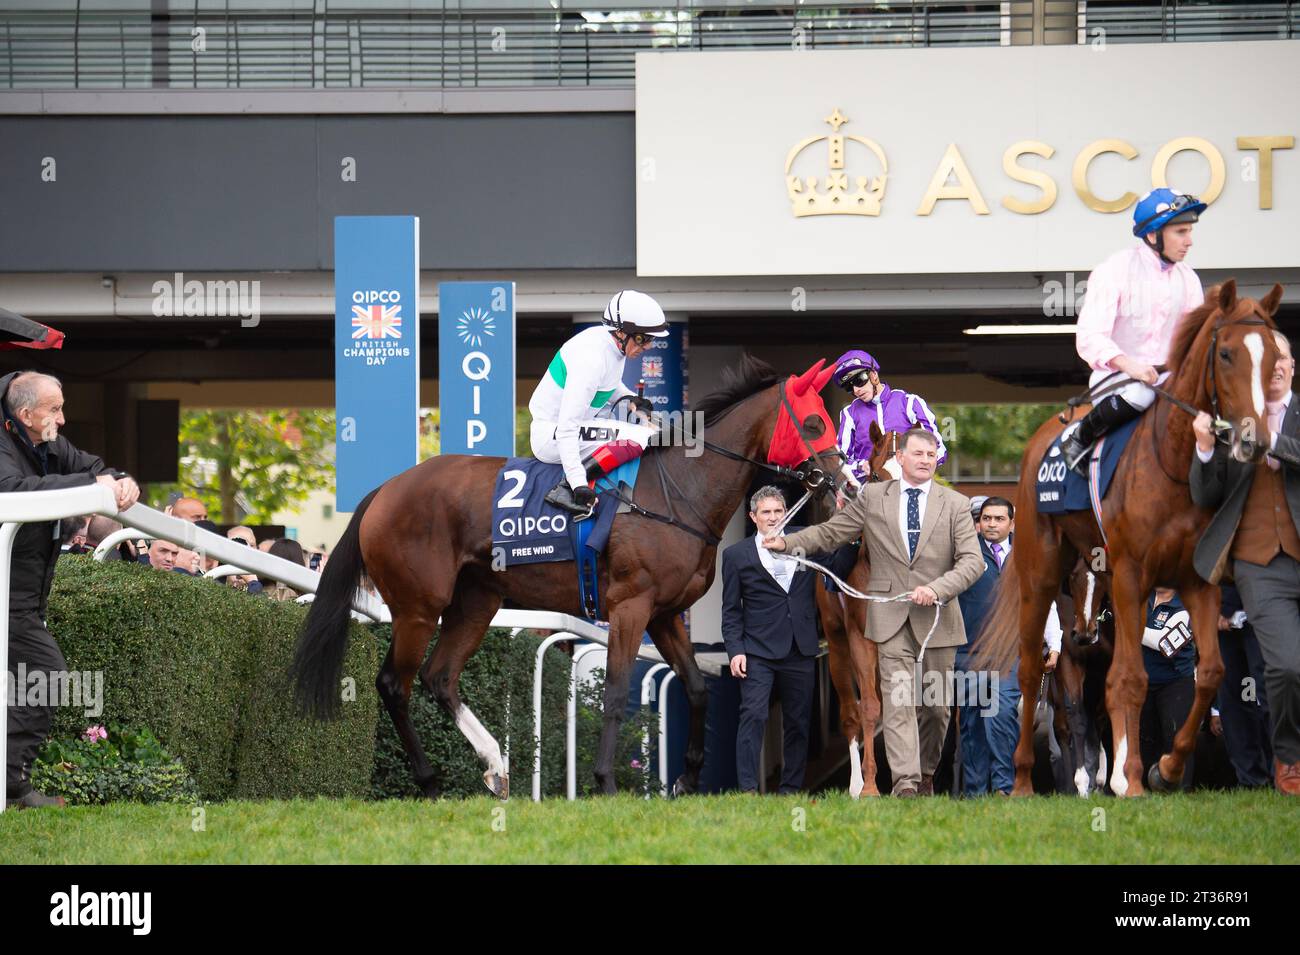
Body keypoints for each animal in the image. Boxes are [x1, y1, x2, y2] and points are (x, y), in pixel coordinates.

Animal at [292, 356, 842, 795]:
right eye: (815, 423)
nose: (840, 481)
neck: (677, 493)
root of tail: (384, 491)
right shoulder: (630, 607)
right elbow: (616, 694)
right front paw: (606, 782)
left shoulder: (665, 615)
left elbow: (698, 689)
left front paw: (686, 779)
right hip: (418, 608)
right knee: (394, 685)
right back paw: (429, 782)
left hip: (475, 603)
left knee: (439, 677)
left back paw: (495, 766)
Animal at [977, 283, 1284, 800]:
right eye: (1225, 354)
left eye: (1275, 357)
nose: (1256, 440)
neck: (1173, 463)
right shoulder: (1130, 575)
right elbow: (1129, 679)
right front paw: (1132, 777)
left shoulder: (1195, 582)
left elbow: (1209, 673)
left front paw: (1164, 768)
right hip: (1040, 574)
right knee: (1029, 668)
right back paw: (1021, 779)